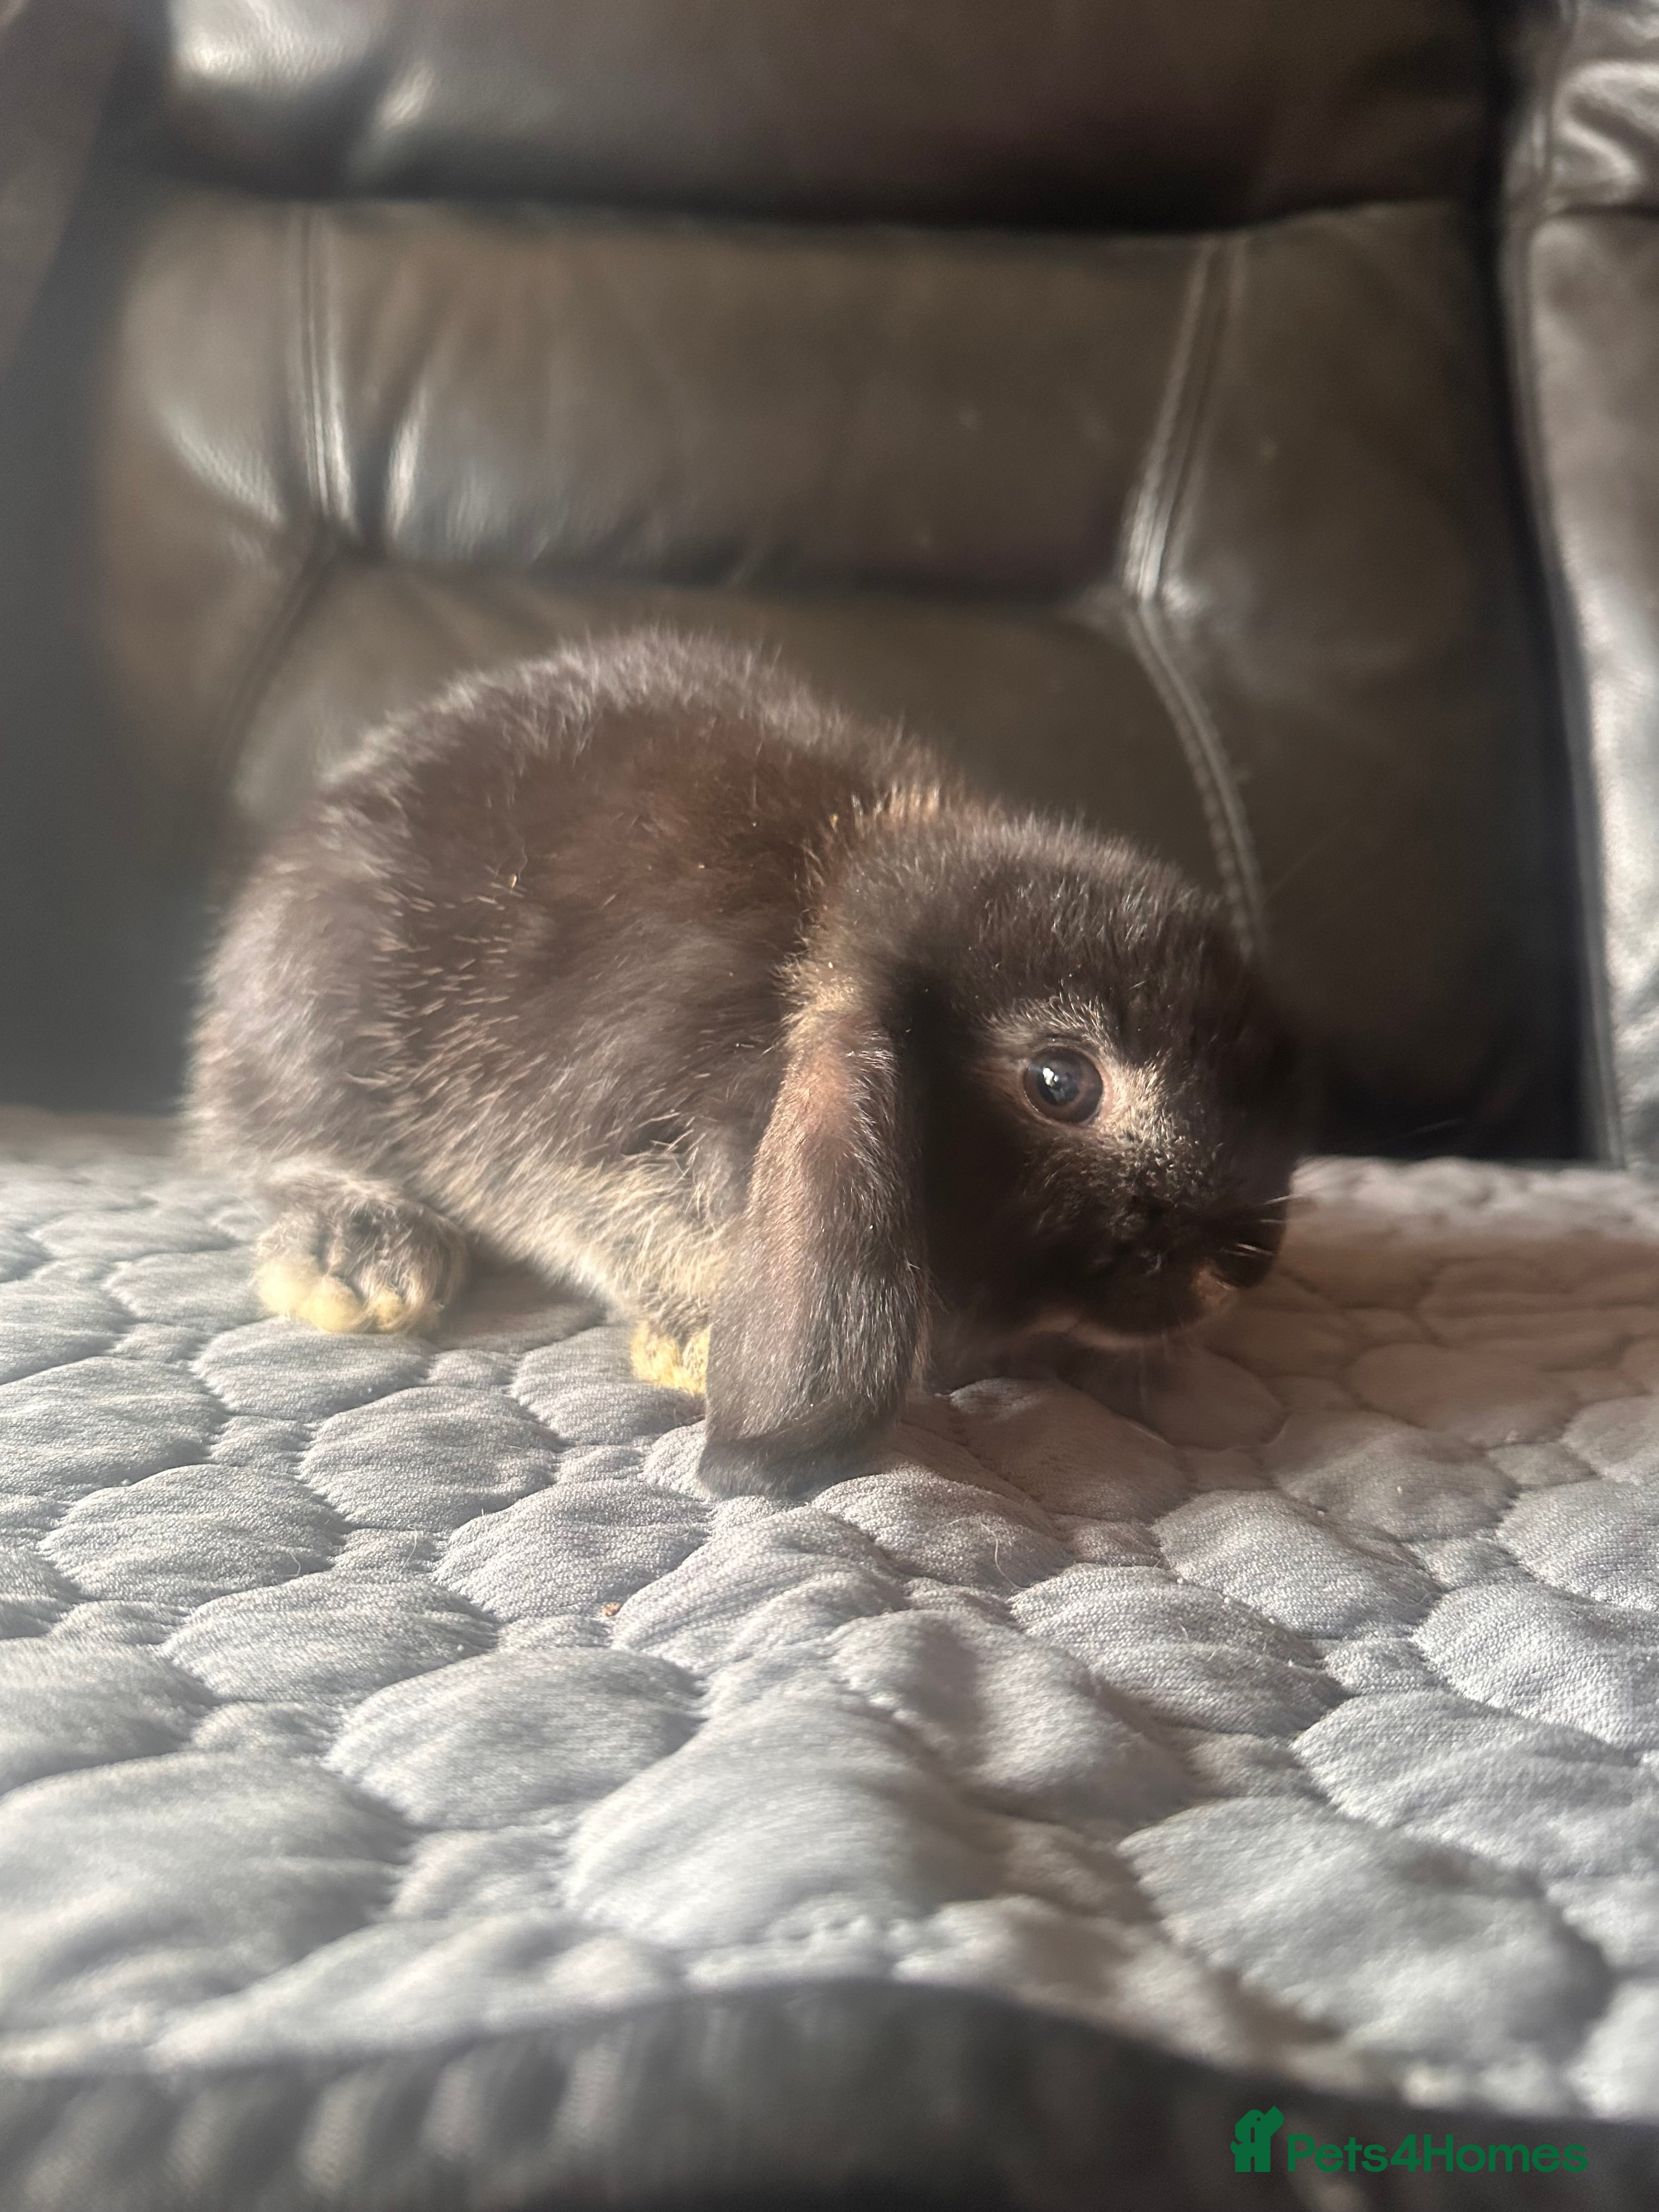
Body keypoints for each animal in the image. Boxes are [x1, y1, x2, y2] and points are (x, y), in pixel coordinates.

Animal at [188, 630, 1304, 1496]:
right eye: (1061, 1082)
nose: (1240, 1267)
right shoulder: (599, 1137)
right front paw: (693, 1344)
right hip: (313, 1028)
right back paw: (359, 1260)